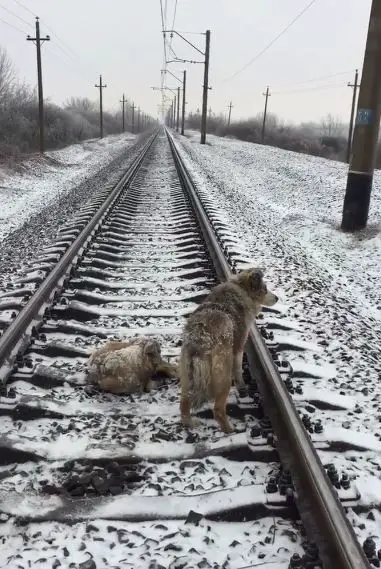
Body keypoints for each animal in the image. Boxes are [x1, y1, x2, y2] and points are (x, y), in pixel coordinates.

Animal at [178, 268, 276, 432]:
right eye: (265, 288)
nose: (277, 298)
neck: (240, 288)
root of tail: (200, 343)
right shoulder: (239, 346)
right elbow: (239, 370)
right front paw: (242, 387)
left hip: (186, 376)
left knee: (184, 405)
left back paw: (190, 423)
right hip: (224, 376)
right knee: (218, 410)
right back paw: (230, 430)